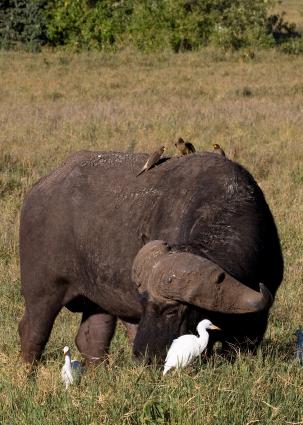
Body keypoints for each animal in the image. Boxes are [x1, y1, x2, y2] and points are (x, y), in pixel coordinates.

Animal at [18, 149, 284, 362]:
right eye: (144, 304)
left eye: (172, 311)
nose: (142, 354)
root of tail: (39, 189)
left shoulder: (254, 325)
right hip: (42, 293)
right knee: (32, 333)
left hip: (98, 302)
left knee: (92, 340)